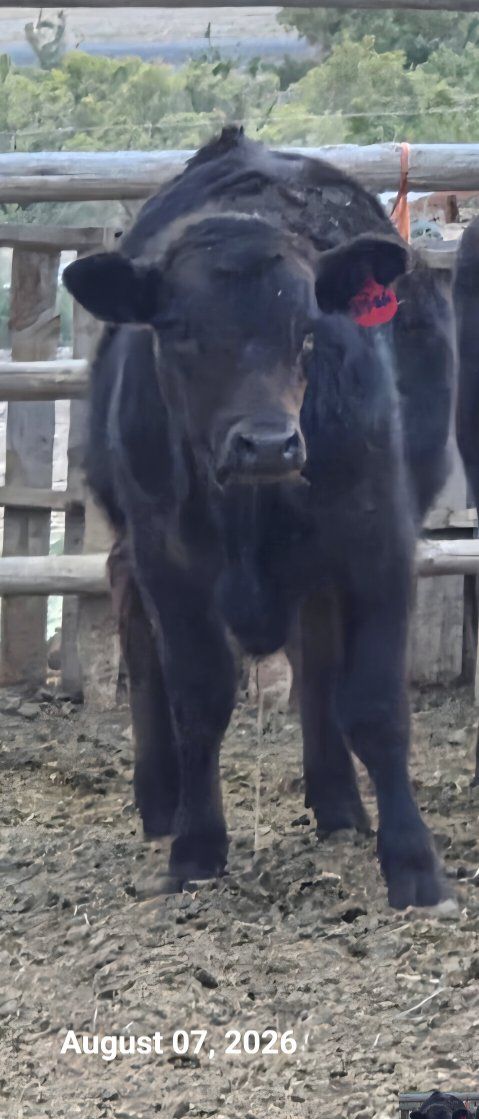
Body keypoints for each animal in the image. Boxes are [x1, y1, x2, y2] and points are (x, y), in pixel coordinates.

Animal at [63, 126, 455, 908]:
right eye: (179, 330)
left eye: (307, 328)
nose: (267, 443)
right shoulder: (168, 556)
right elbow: (198, 695)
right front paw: (196, 845)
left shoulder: (377, 545)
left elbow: (373, 705)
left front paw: (412, 862)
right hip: (137, 542)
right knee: (132, 618)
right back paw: (161, 800)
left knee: (319, 657)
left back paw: (338, 803)